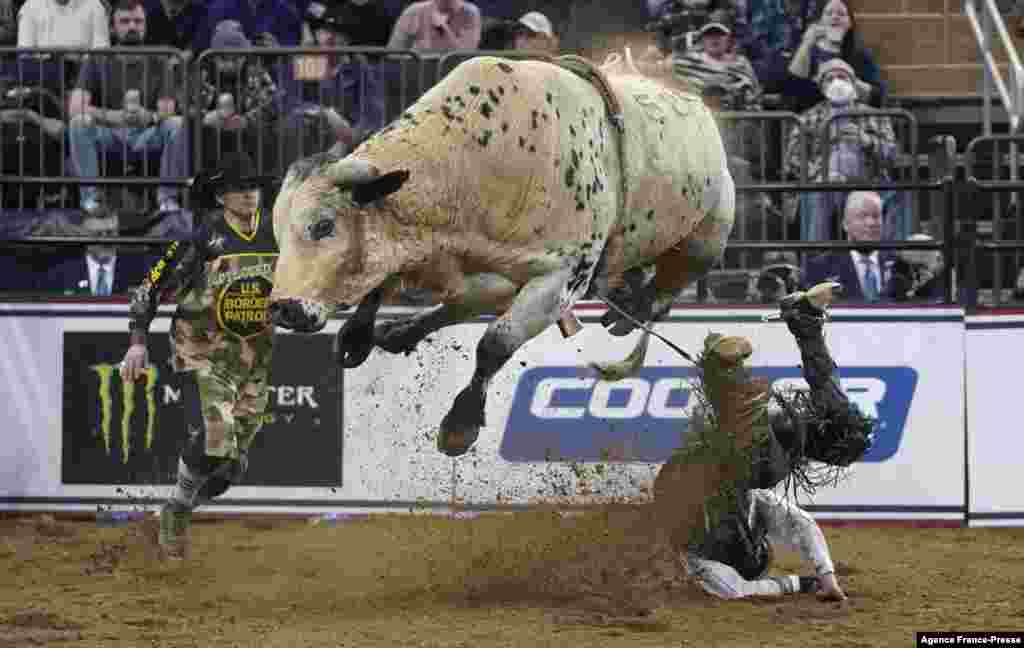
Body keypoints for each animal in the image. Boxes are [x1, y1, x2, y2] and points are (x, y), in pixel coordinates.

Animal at [270, 54, 737, 454]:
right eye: (278, 231)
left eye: (324, 225)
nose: (284, 308)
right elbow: (383, 284)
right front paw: (357, 334)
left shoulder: (562, 279)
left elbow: (497, 341)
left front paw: (460, 424)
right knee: (459, 305)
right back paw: (401, 331)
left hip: (705, 241)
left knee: (663, 291)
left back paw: (629, 311)